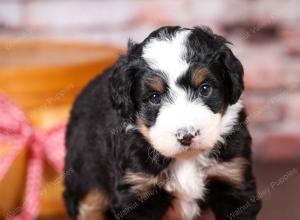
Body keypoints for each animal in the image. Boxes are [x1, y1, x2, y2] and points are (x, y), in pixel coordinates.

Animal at [64, 26, 262, 220]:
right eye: (154, 98)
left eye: (205, 89)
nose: (186, 136)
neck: (186, 159)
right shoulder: (137, 191)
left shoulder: (233, 178)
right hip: (85, 176)